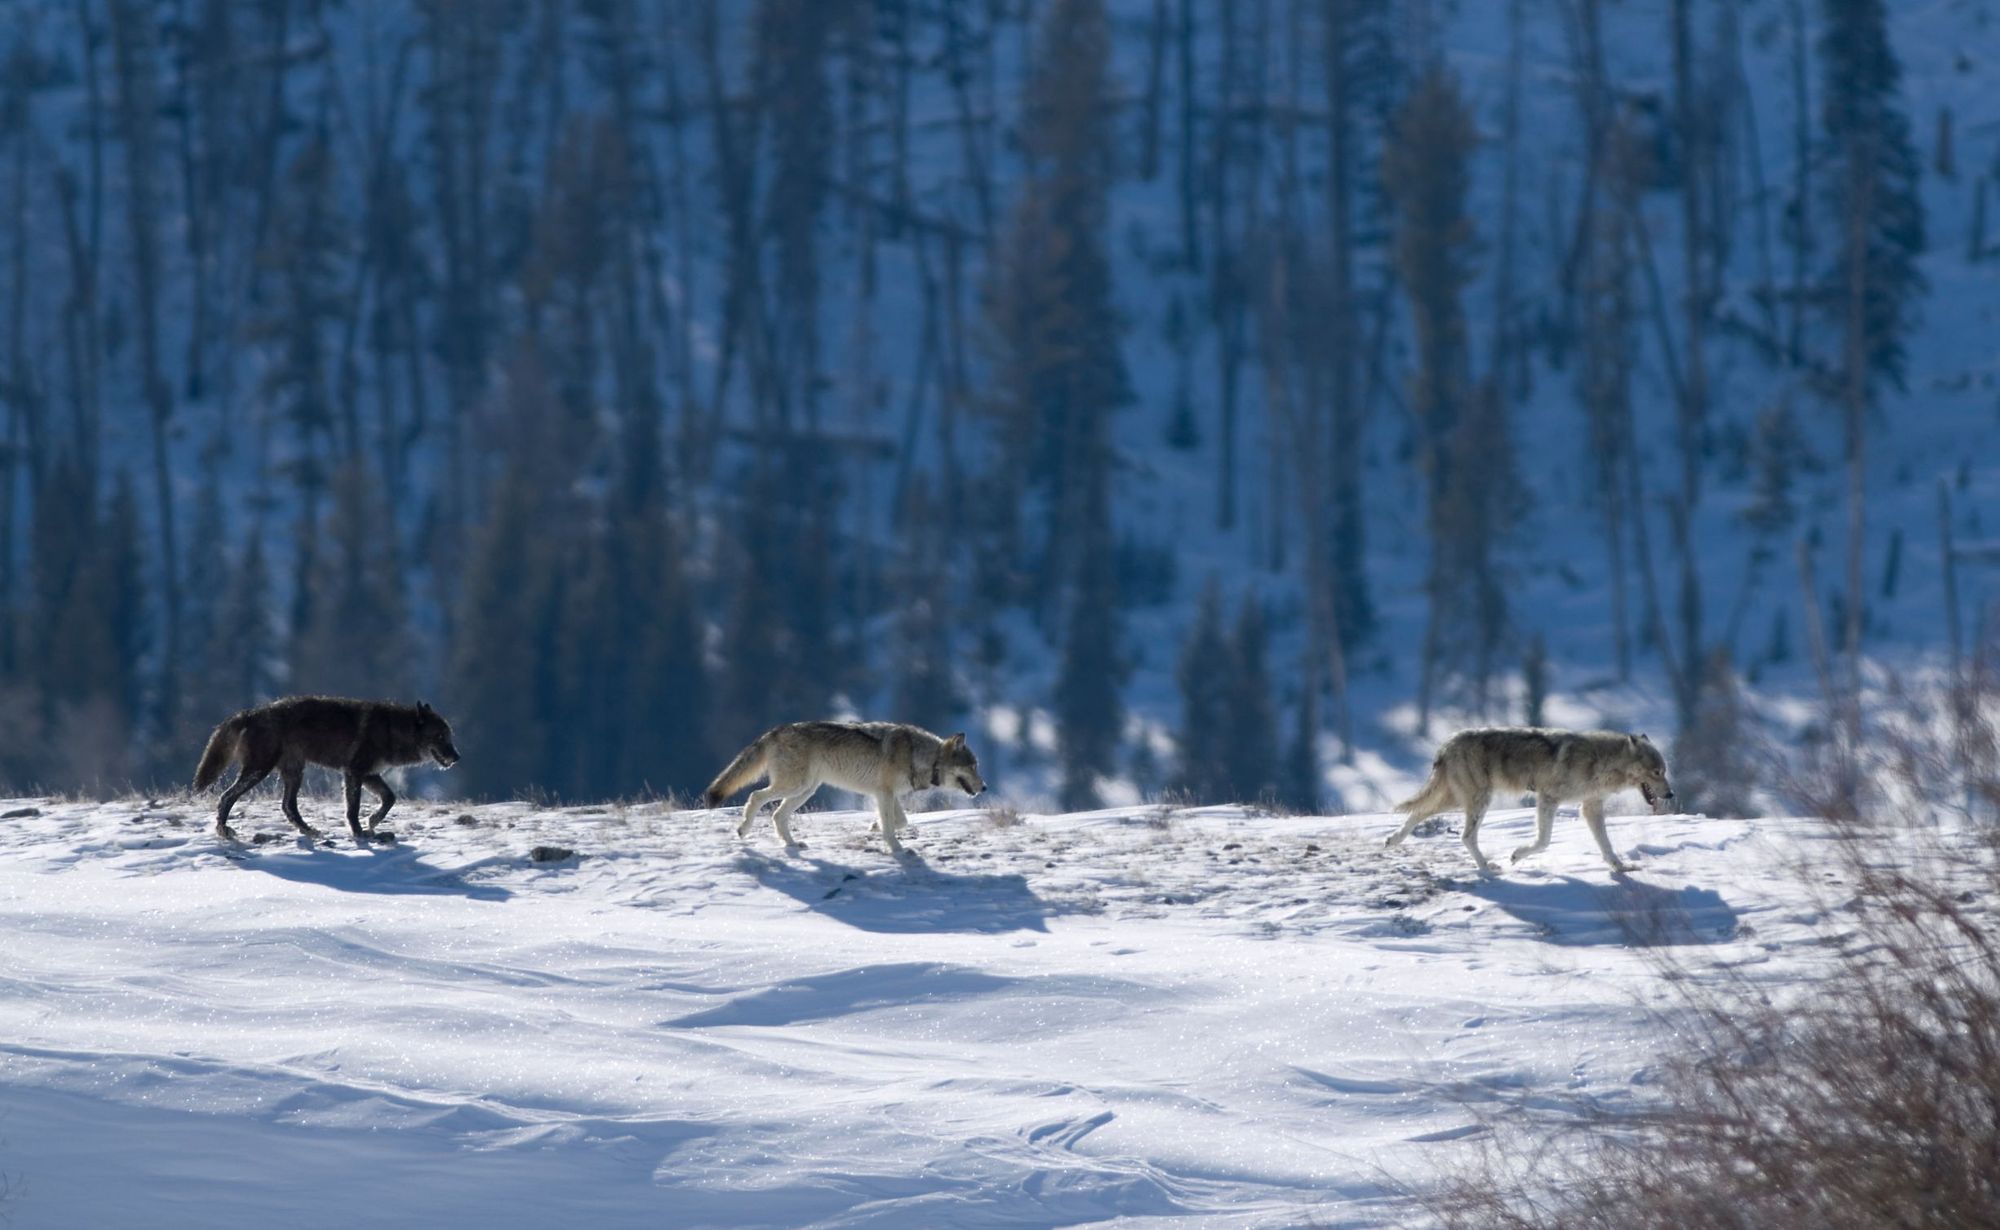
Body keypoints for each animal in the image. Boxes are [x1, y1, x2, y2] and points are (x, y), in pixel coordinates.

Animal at [192, 696, 460, 844]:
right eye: (440, 737)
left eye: (450, 736)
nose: (457, 757)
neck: (392, 731)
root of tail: (249, 713)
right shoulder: (353, 773)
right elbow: (353, 809)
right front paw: (359, 832)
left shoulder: (369, 774)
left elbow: (390, 798)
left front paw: (373, 822)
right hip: (259, 770)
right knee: (226, 796)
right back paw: (224, 831)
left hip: (293, 773)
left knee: (288, 806)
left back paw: (310, 832)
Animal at [700, 720, 988, 856]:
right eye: (973, 766)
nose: (985, 787)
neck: (921, 756)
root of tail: (774, 731)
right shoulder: (884, 793)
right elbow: (893, 827)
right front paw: (896, 849)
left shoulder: (885, 794)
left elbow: (901, 821)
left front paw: (874, 827)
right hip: (793, 786)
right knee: (755, 796)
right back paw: (743, 829)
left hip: (804, 791)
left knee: (777, 815)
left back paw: (792, 845)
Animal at [1384, 728, 1664, 872]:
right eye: (1657, 773)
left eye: (1664, 771)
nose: (1670, 794)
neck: (1601, 763)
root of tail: (1446, 744)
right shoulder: (1548, 799)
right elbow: (1543, 841)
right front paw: (1517, 856)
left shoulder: (1590, 807)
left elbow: (1606, 846)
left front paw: (1621, 868)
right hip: (1477, 801)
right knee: (1465, 836)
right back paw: (1486, 867)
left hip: (1458, 800)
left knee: (1419, 812)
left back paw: (1392, 840)